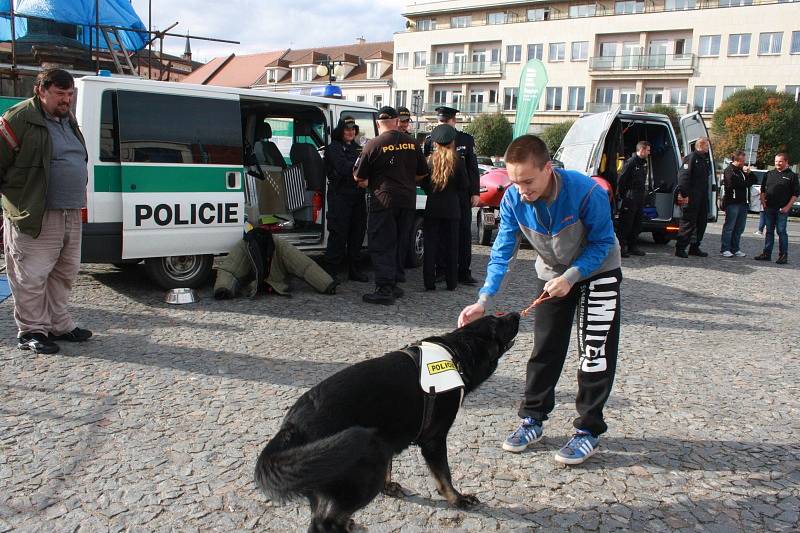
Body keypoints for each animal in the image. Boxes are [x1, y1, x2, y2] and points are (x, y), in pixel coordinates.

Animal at [253, 312, 520, 532]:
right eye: (498, 323)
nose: (517, 313)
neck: (455, 353)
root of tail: (292, 426)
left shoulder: (389, 434)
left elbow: (393, 467)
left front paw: (388, 487)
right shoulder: (434, 441)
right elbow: (444, 476)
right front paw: (458, 499)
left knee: (319, 519)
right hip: (366, 467)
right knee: (324, 522)